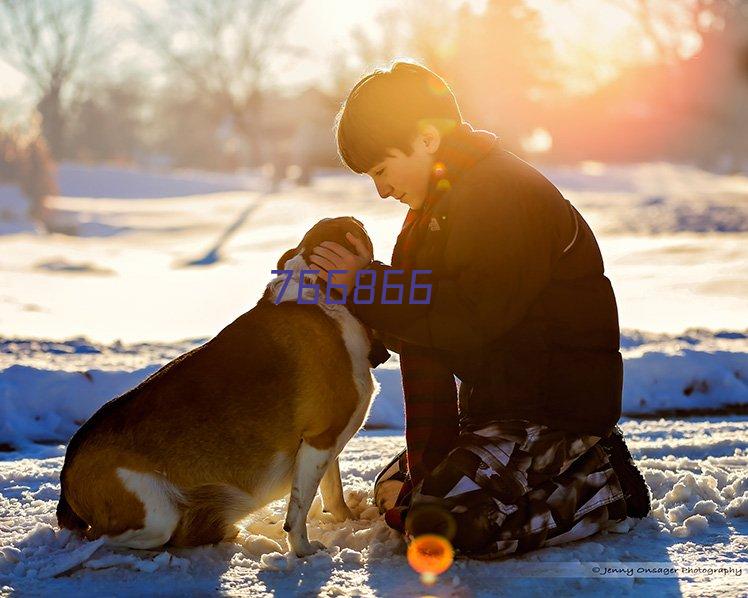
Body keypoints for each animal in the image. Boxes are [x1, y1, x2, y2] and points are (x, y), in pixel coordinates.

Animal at [55, 216, 388, 556]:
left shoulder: (326, 441)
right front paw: (304, 551)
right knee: (103, 541)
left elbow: (333, 493)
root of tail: (67, 476)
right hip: (156, 517)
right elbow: (297, 513)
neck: (319, 294)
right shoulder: (319, 441)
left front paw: (347, 521)